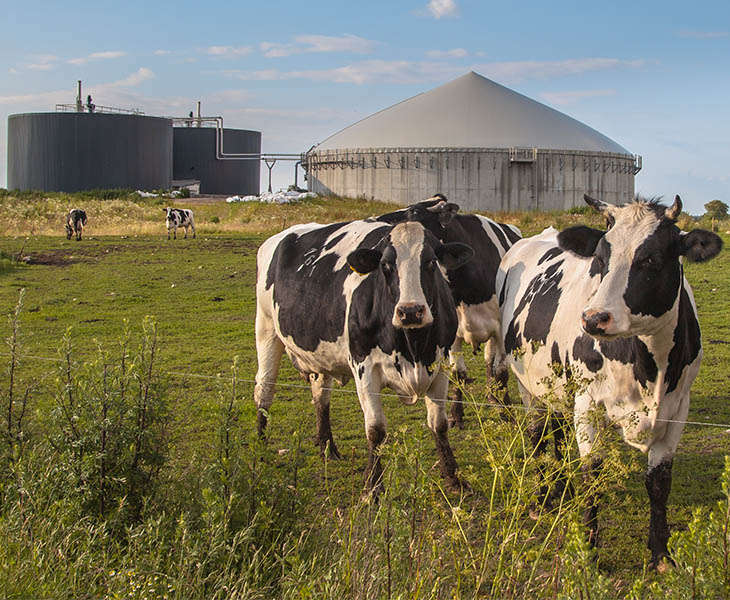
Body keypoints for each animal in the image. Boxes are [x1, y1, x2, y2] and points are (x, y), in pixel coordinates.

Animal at [255, 218, 472, 490]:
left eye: (431, 262)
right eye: (385, 265)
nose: (411, 311)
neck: (412, 347)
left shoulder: (439, 365)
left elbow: (439, 425)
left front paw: (453, 477)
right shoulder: (364, 368)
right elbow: (375, 429)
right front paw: (372, 485)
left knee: (321, 396)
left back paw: (327, 447)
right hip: (266, 329)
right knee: (264, 391)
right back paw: (260, 450)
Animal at [376, 193, 524, 426]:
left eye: (415, 212)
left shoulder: (501, 328)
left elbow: (501, 371)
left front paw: (506, 412)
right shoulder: (453, 332)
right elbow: (457, 374)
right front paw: (456, 414)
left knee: (491, 362)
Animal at [498, 195, 720, 568]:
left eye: (650, 259)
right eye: (600, 259)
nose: (594, 318)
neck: (649, 367)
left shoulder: (678, 409)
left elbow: (659, 482)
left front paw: (660, 552)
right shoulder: (588, 405)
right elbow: (593, 476)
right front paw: (588, 550)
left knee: (557, 432)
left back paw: (561, 489)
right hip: (528, 385)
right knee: (538, 436)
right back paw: (543, 498)